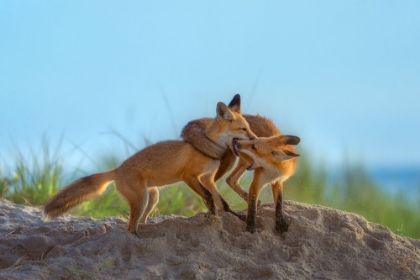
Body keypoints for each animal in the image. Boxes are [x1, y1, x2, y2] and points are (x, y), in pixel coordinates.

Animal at [44, 99, 258, 235]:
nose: (256, 139)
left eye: (249, 128)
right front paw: (211, 216)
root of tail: (118, 169)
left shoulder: (207, 178)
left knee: (141, 222)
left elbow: (223, 202)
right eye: (243, 129)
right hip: (141, 199)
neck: (208, 148)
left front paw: (236, 218)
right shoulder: (190, 177)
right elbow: (208, 198)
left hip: (152, 197)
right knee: (131, 228)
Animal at [182, 93, 300, 233]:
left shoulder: (278, 181)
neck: (272, 170)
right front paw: (251, 228)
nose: (240, 144)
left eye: (254, 147)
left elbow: (279, 204)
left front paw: (281, 224)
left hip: (241, 163)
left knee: (230, 180)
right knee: (211, 183)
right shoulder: (256, 183)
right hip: (226, 163)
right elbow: (252, 210)